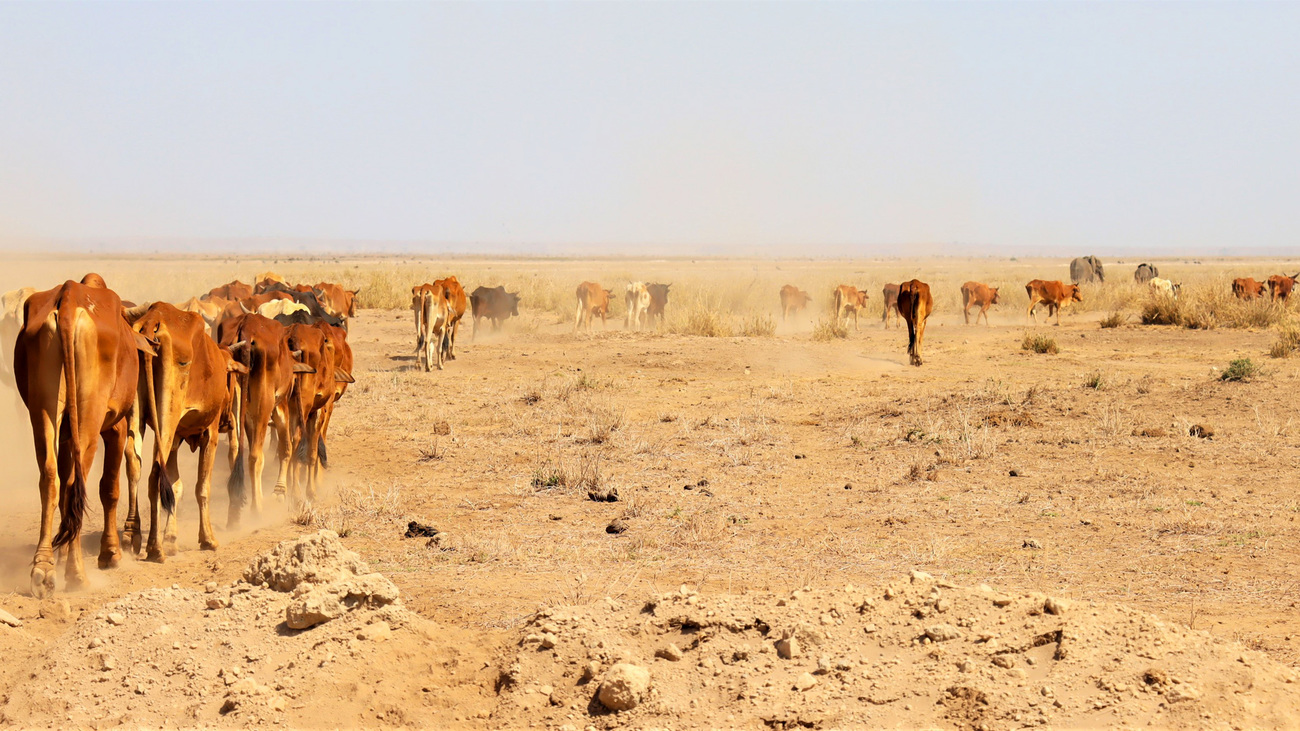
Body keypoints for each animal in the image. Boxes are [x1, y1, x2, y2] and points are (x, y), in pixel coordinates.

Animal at [13, 275, 154, 595]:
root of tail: (68, 299)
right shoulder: (115, 429)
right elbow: (109, 489)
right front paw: (110, 553)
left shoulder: (66, 434)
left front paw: (61, 550)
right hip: (89, 419)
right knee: (77, 485)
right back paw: (76, 574)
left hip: (44, 411)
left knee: (51, 480)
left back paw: (44, 568)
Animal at [127, 301, 248, 556]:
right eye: (229, 378)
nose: (228, 421)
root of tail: (153, 321)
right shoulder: (209, 434)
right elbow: (202, 487)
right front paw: (207, 538)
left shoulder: (175, 439)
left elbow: (176, 486)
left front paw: (171, 538)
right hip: (166, 421)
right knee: (155, 474)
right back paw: (154, 547)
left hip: (138, 415)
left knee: (135, 463)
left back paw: (133, 535)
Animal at [220, 313, 314, 522]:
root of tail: (247, 327)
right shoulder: (280, 409)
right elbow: (286, 448)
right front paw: (280, 492)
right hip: (264, 406)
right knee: (255, 456)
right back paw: (257, 508)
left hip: (236, 402)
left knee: (235, 452)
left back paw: (234, 509)